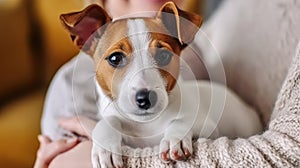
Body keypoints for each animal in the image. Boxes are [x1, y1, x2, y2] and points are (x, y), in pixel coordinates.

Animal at [59, 1, 262, 168]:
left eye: (163, 55)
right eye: (115, 58)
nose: (145, 98)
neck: (145, 125)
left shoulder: (210, 127)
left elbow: (181, 121)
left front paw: (175, 139)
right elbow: (108, 121)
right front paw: (105, 148)